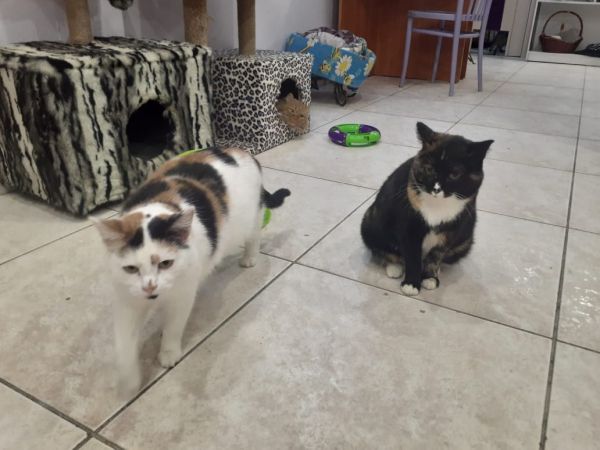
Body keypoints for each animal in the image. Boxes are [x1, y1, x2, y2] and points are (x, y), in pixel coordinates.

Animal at [93, 146, 290, 396]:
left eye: (166, 263)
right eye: (131, 268)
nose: (150, 288)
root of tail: (240, 150)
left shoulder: (182, 295)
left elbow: (174, 326)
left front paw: (168, 353)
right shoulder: (127, 300)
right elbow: (123, 345)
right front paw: (129, 384)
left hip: (251, 217)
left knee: (253, 235)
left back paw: (249, 258)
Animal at [361, 122, 493, 297]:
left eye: (455, 174)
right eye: (429, 169)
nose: (436, 189)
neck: (437, 205)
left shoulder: (452, 230)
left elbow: (436, 255)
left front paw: (430, 277)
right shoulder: (409, 227)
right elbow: (412, 257)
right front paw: (411, 284)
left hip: (466, 240)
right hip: (371, 222)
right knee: (383, 250)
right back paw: (394, 267)